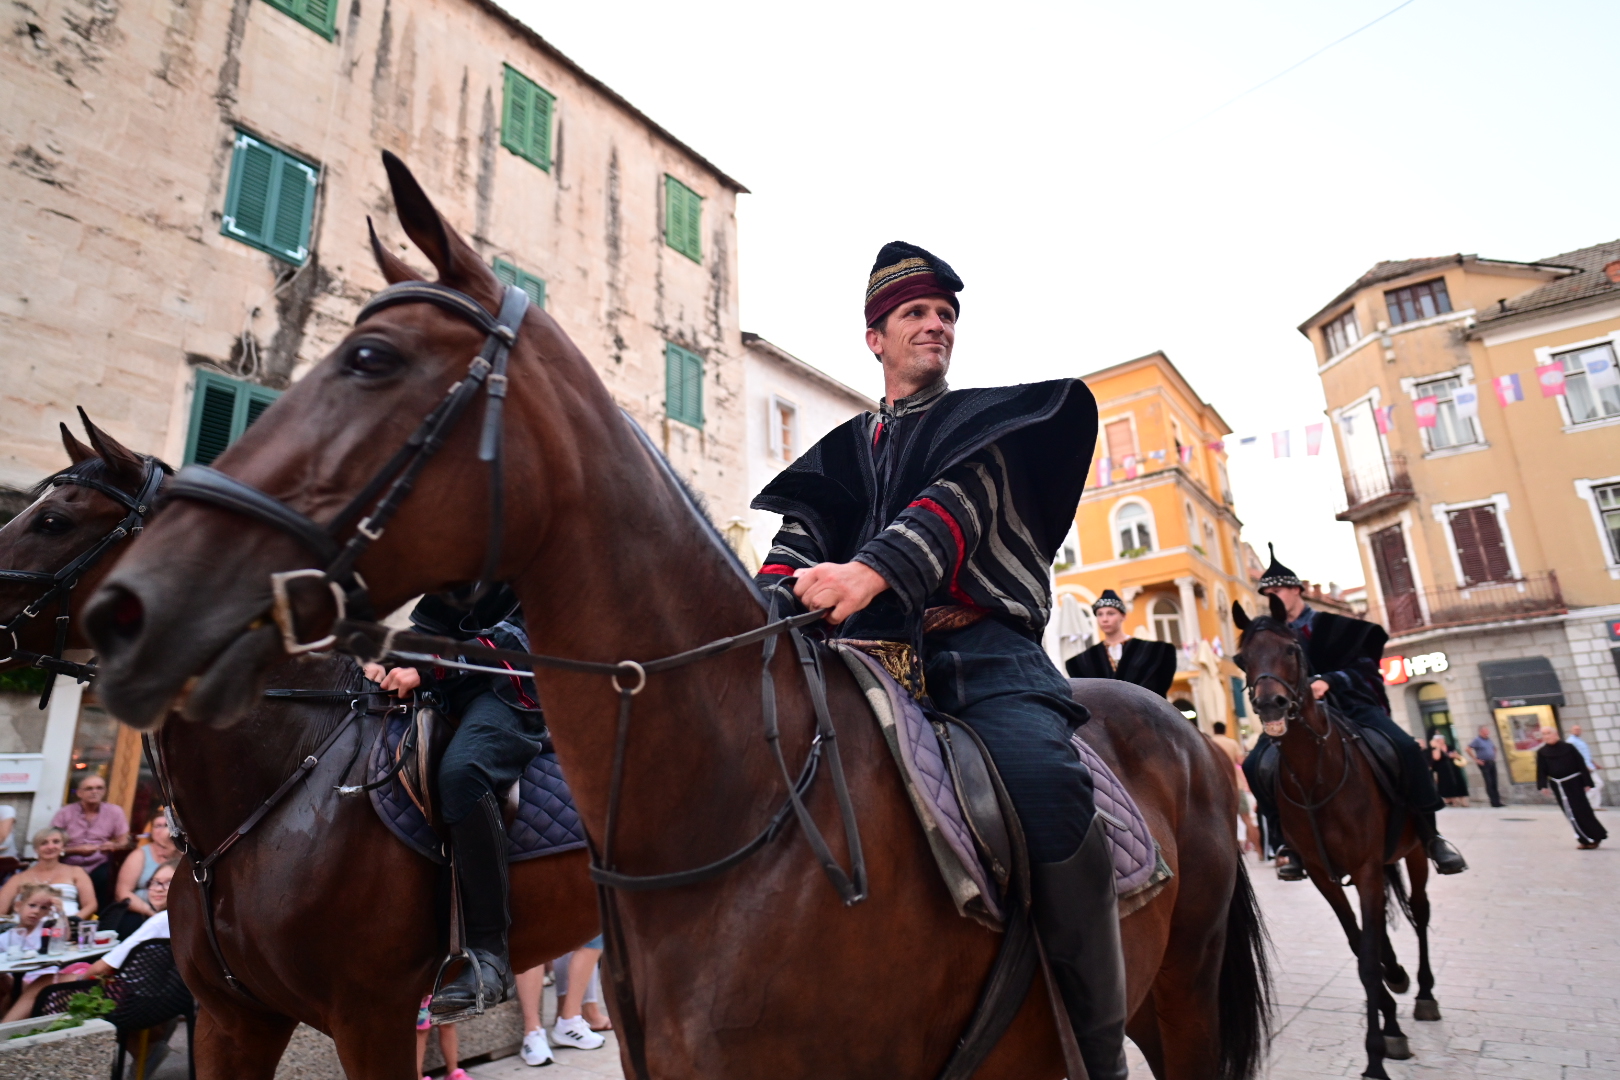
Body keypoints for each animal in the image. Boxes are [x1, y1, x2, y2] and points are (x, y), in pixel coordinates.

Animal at [82, 153, 1270, 1080]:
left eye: (371, 361)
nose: (132, 608)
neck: (733, 809)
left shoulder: (370, 1013)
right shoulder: (239, 1021)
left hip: (1178, 994)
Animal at [1231, 592, 1438, 1080]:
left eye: (1292, 650)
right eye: (1242, 659)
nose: (1270, 705)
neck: (1316, 777)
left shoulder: (1365, 868)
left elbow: (1368, 960)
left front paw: (1377, 1056)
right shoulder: (1327, 876)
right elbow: (1360, 945)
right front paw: (1389, 1024)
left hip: (1414, 851)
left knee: (1420, 912)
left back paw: (1424, 993)